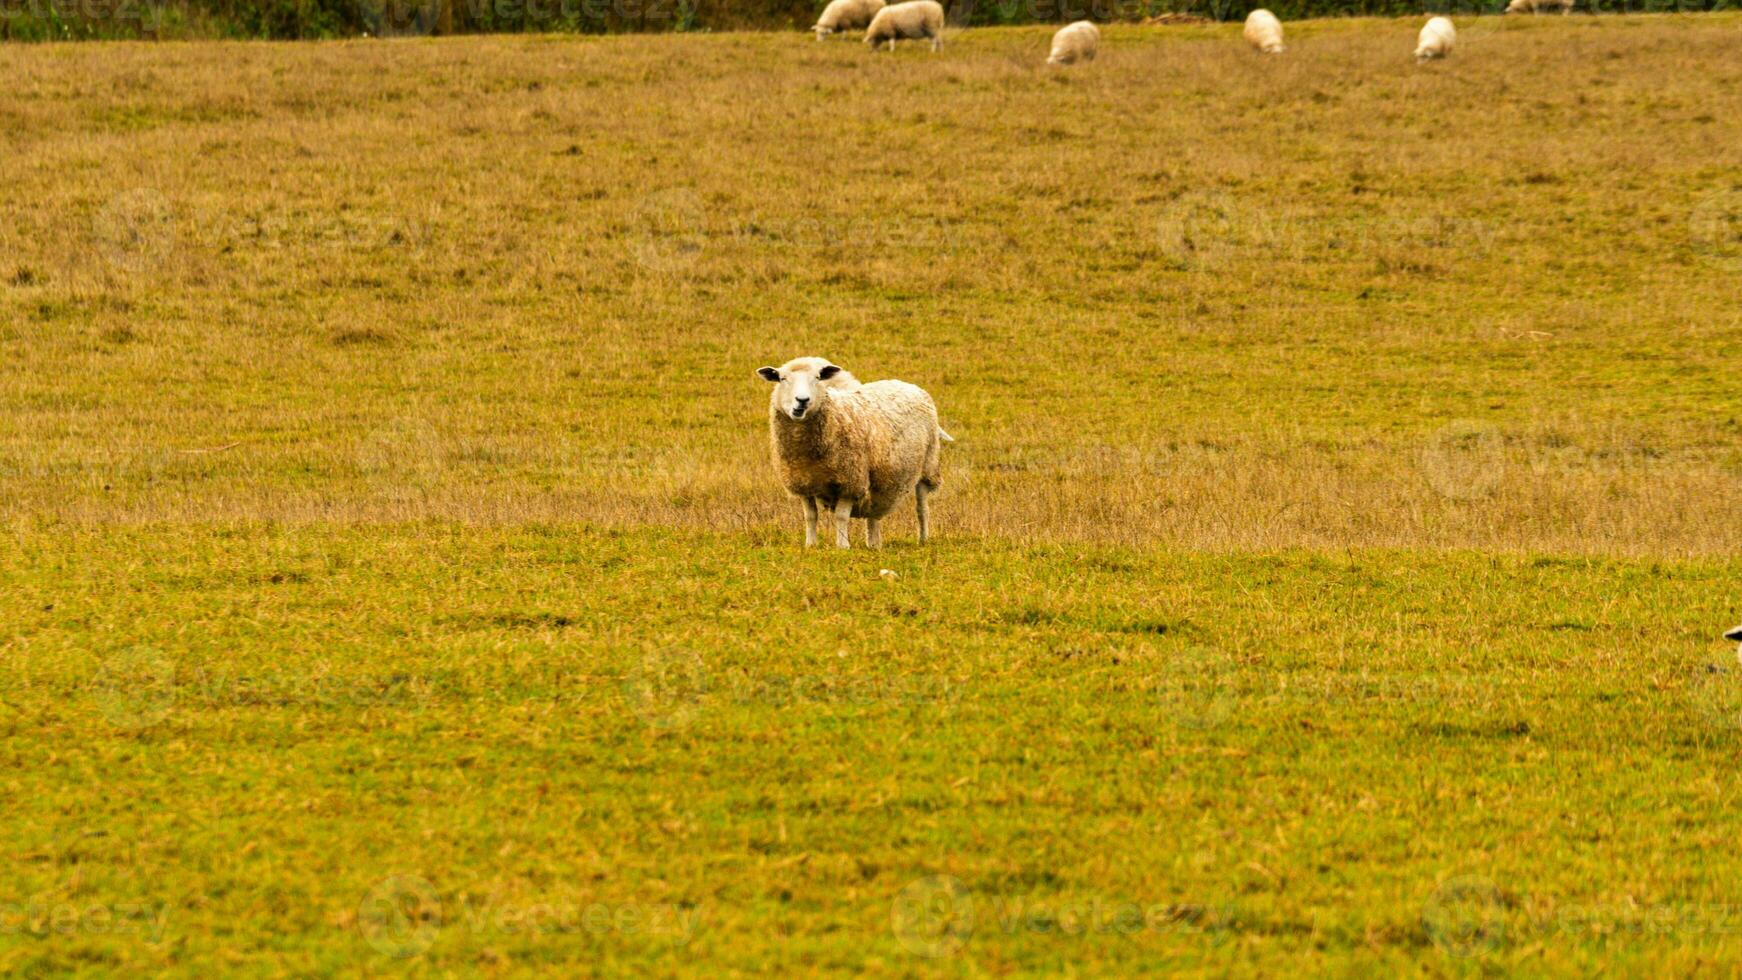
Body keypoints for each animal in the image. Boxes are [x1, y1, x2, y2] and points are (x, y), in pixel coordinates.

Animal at [759, 356, 961, 550]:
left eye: (817, 378)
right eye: (782, 379)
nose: (802, 400)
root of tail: (910, 386)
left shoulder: (851, 481)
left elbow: (840, 516)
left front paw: (842, 546)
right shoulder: (802, 482)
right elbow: (810, 516)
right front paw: (811, 544)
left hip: (928, 466)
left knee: (922, 508)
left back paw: (923, 539)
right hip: (881, 479)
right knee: (874, 512)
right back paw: (874, 544)